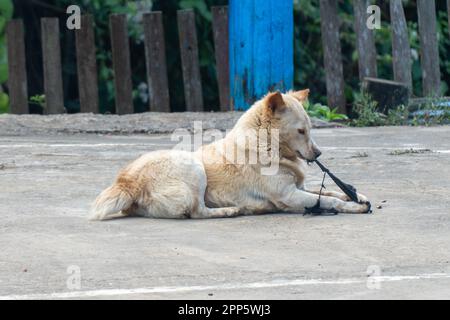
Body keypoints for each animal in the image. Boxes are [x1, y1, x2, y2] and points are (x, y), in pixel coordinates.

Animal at [89, 90, 370, 220]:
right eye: (301, 131)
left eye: (310, 128)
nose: (319, 152)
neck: (267, 145)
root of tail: (126, 182)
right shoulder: (289, 196)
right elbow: (330, 201)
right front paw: (353, 206)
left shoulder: (298, 188)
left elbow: (331, 191)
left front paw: (358, 196)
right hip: (193, 167)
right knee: (197, 211)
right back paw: (229, 211)